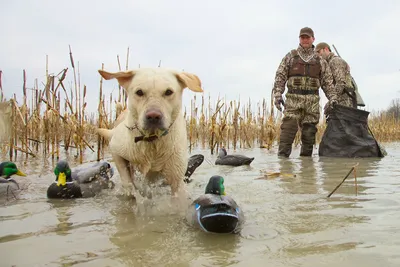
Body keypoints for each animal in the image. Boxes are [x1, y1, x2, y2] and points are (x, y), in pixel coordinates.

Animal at [97, 68, 203, 200]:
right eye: (139, 92)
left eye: (168, 92)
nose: (153, 116)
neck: (152, 141)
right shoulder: (115, 149)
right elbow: (127, 180)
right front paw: (131, 193)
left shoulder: (176, 179)